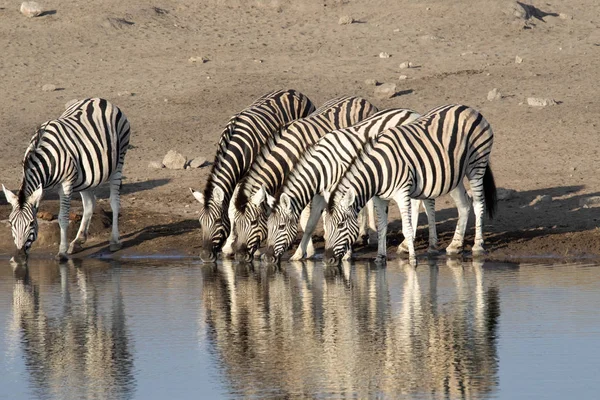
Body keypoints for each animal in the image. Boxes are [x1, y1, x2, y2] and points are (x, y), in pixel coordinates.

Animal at [2, 99, 131, 262]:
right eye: (11, 222)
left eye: (31, 223)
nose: (18, 257)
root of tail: (100, 100)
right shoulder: (43, 187)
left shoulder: (66, 183)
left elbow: (62, 218)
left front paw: (61, 252)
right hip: (85, 177)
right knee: (90, 203)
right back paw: (77, 242)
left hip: (119, 161)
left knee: (114, 201)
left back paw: (114, 241)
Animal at [190, 88, 316, 262]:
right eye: (200, 222)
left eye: (217, 220)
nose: (204, 256)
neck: (238, 146)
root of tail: (292, 90)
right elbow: (234, 210)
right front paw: (231, 245)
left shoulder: (247, 176)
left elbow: (233, 210)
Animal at [227, 94, 378, 262]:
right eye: (236, 223)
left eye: (253, 222)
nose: (239, 255)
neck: (288, 153)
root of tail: (361, 99)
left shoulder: (306, 181)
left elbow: (306, 219)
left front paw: (313, 251)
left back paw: (367, 233)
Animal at [262, 108, 436, 264]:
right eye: (268, 226)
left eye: (281, 227)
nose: (268, 258)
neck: (323, 166)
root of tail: (413, 112)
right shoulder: (320, 195)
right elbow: (310, 224)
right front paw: (298, 254)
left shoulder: (336, 191)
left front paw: (346, 254)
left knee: (420, 202)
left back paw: (409, 244)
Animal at [324, 104, 496, 266]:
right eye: (327, 226)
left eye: (340, 225)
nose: (327, 259)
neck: (379, 170)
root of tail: (468, 108)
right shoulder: (380, 198)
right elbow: (382, 228)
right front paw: (380, 258)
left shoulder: (402, 193)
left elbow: (406, 228)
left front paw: (413, 260)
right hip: (454, 175)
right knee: (464, 204)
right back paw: (455, 245)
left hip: (476, 165)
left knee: (478, 203)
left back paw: (477, 246)